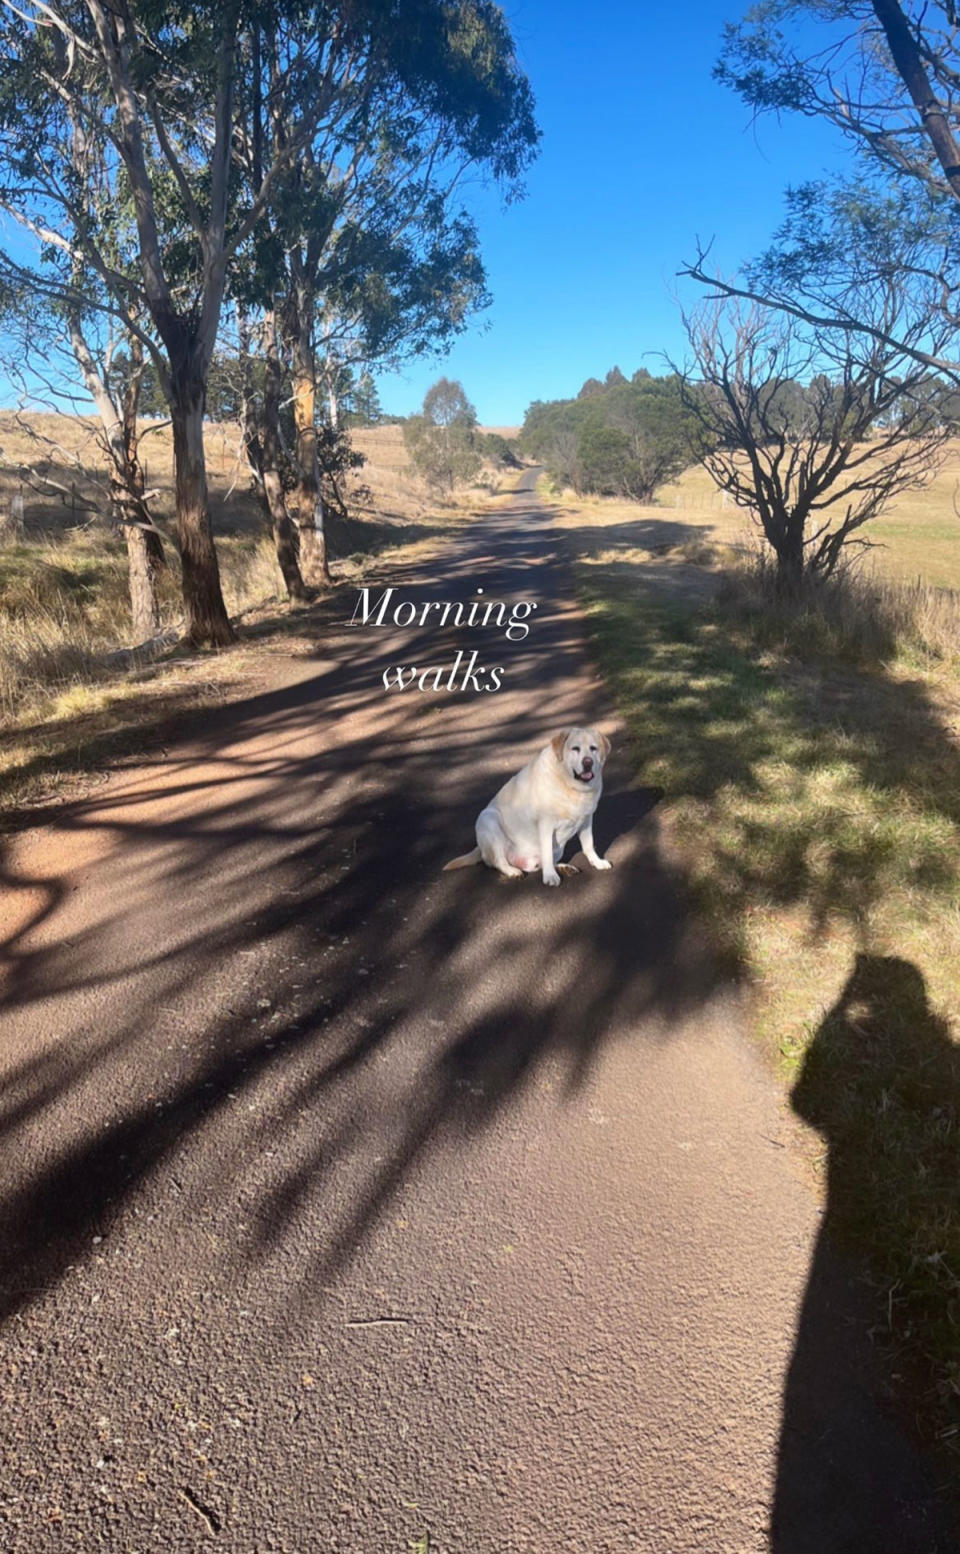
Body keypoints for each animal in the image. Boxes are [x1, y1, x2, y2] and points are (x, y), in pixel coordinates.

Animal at [444, 724, 608, 888]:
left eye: (593, 748)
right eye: (575, 748)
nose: (588, 762)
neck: (573, 787)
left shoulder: (587, 819)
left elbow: (589, 845)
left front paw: (597, 862)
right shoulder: (546, 825)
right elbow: (547, 853)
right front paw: (550, 876)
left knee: (541, 863)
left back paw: (564, 867)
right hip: (488, 818)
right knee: (498, 861)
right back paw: (513, 871)